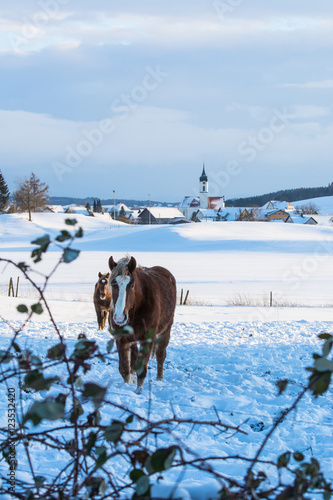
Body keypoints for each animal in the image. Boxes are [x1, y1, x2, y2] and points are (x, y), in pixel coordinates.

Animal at [108, 256, 176, 392]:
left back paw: (159, 378)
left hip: (165, 331)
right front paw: (130, 383)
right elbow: (124, 369)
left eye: (132, 285)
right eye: (113, 284)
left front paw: (139, 391)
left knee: (161, 355)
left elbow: (142, 369)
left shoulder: (147, 339)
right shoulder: (121, 339)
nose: (119, 317)